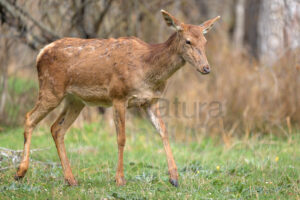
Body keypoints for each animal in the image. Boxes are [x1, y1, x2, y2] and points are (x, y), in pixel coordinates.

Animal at [14, 10, 220, 187]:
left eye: (205, 41)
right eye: (188, 41)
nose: (206, 68)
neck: (147, 68)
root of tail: (40, 54)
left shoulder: (151, 102)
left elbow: (164, 131)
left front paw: (174, 178)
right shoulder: (118, 96)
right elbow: (121, 138)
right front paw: (120, 179)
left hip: (75, 100)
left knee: (56, 128)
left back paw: (71, 179)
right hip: (51, 88)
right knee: (29, 117)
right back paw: (20, 172)